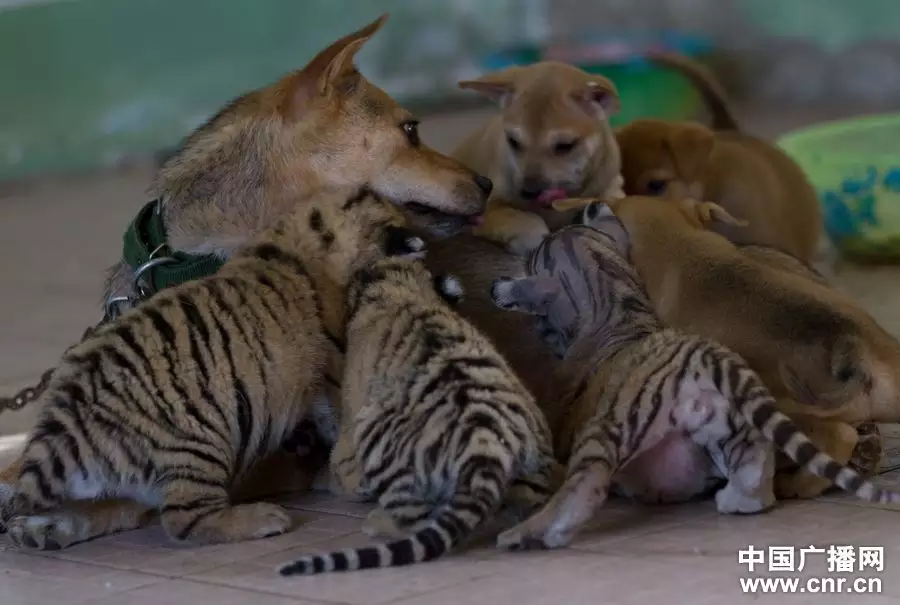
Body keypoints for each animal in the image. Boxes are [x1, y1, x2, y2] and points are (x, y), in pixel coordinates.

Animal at [454, 63, 624, 255]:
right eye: (512, 141)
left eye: (565, 146)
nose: (528, 192)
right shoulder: (490, 207)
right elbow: (523, 221)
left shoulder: (612, 189)